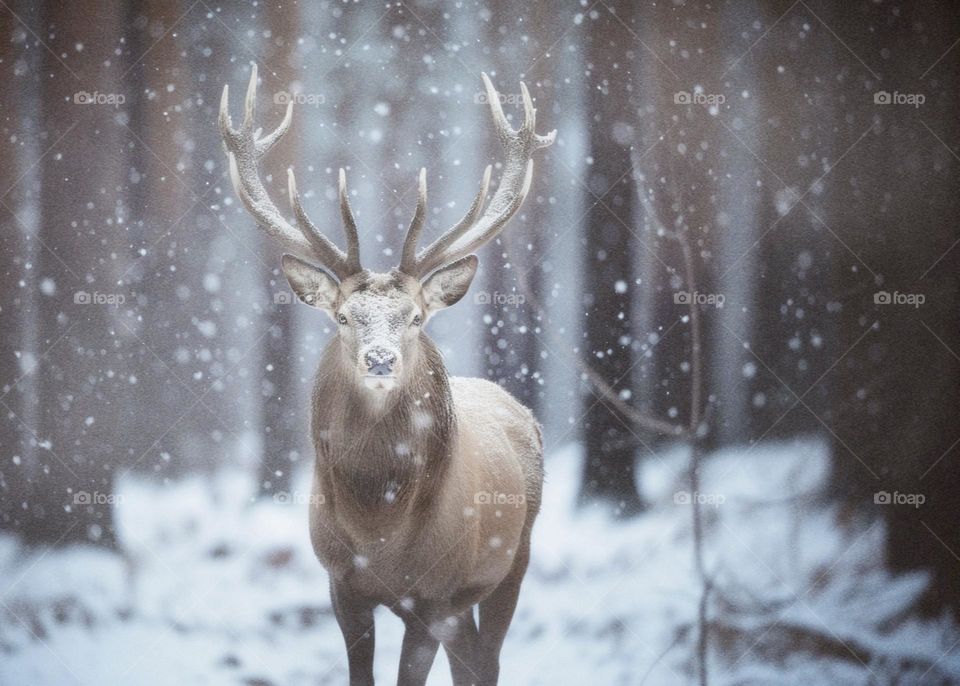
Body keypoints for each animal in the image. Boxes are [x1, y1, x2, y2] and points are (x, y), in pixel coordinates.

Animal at [219, 66, 555, 686]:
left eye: (417, 317)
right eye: (343, 317)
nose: (379, 360)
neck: (380, 532)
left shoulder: (433, 595)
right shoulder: (341, 584)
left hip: (512, 558)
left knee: (487, 660)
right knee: (470, 658)